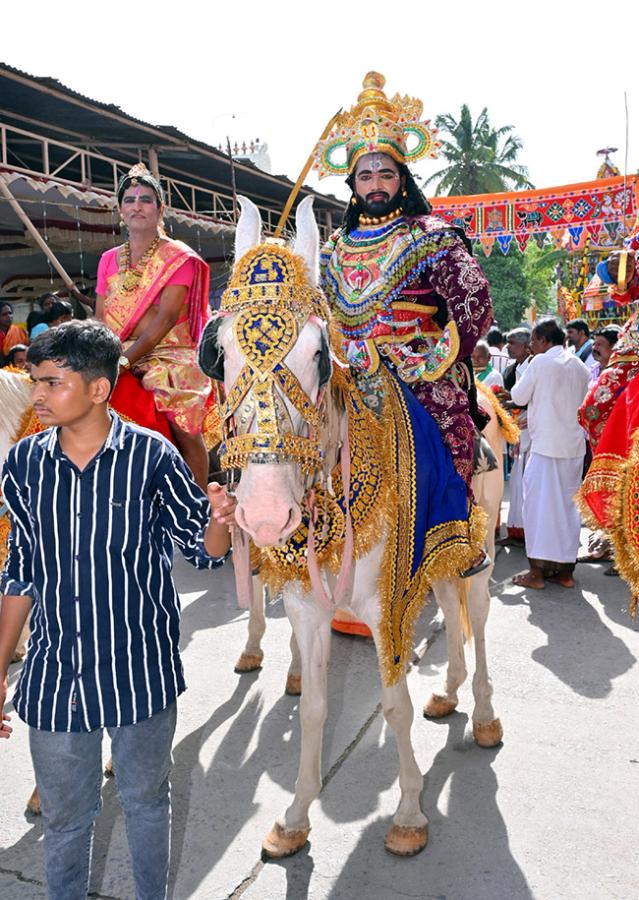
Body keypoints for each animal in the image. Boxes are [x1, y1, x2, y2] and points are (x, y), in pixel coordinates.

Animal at [205, 197, 504, 856]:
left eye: (321, 355)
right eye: (219, 355)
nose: (265, 513)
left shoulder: (385, 604)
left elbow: (393, 705)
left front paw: (411, 812)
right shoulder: (307, 608)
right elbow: (315, 708)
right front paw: (295, 817)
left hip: (482, 546)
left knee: (476, 615)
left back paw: (483, 714)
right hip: (439, 554)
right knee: (451, 608)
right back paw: (448, 692)